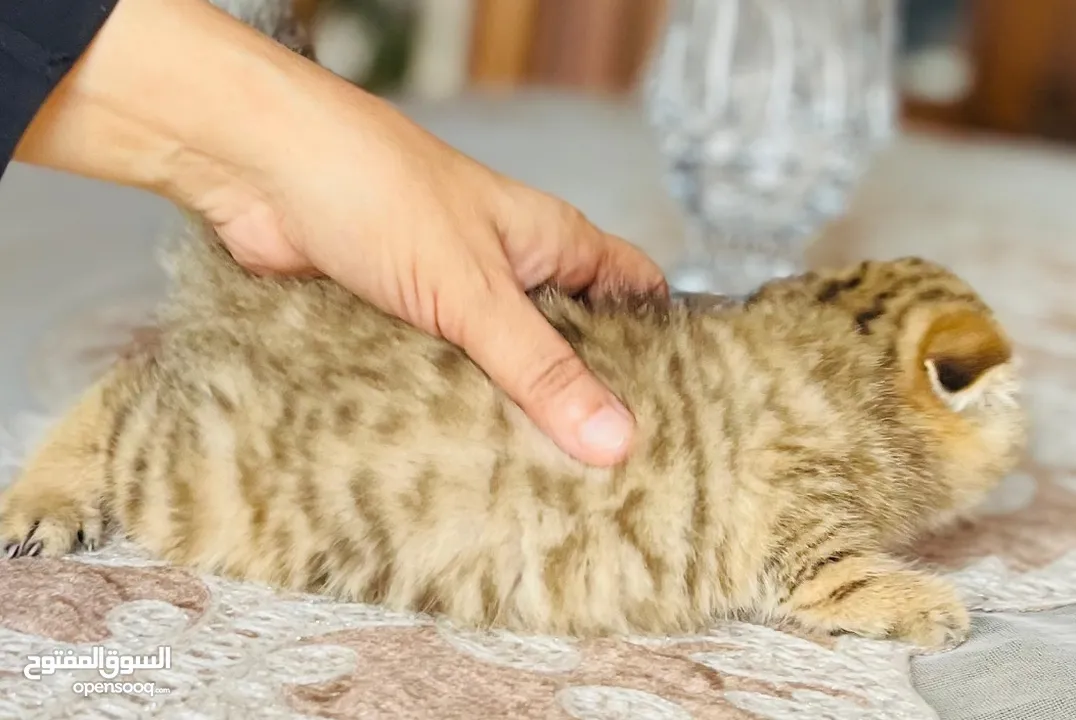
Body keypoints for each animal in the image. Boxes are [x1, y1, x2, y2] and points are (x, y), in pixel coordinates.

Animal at [0, 221, 1024, 650]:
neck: (837, 355)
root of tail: (249, 288)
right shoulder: (792, 524)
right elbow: (844, 576)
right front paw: (928, 604)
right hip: (197, 470)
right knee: (124, 387)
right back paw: (39, 501)